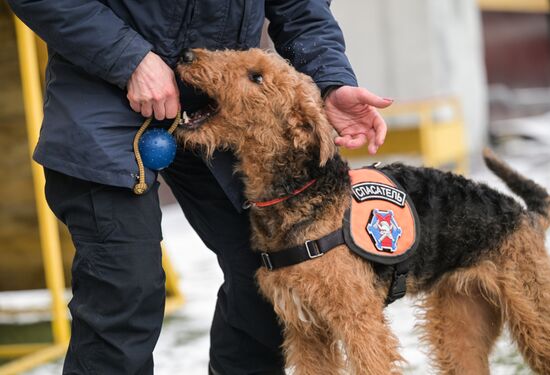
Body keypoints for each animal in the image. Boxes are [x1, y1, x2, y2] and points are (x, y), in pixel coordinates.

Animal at [176, 48, 550, 374]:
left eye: (256, 76)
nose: (185, 55)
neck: (300, 191)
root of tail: (524, 213)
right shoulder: (305, 328)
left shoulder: (358, 321)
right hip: (460, 320)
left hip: (532, 314)